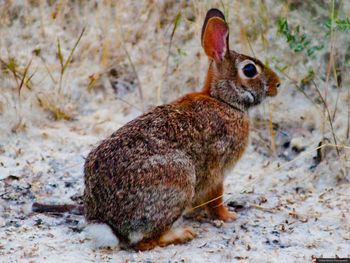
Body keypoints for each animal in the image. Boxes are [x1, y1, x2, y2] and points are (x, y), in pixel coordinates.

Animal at [82, 7, 282, 252]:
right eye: (250, 69)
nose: (278, 84)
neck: (224, 101)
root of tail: (109, 225)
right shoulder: (217, 170)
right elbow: (216, 198)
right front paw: (228, 216)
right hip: (180, 179)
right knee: (145, 242)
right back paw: (182, 234)